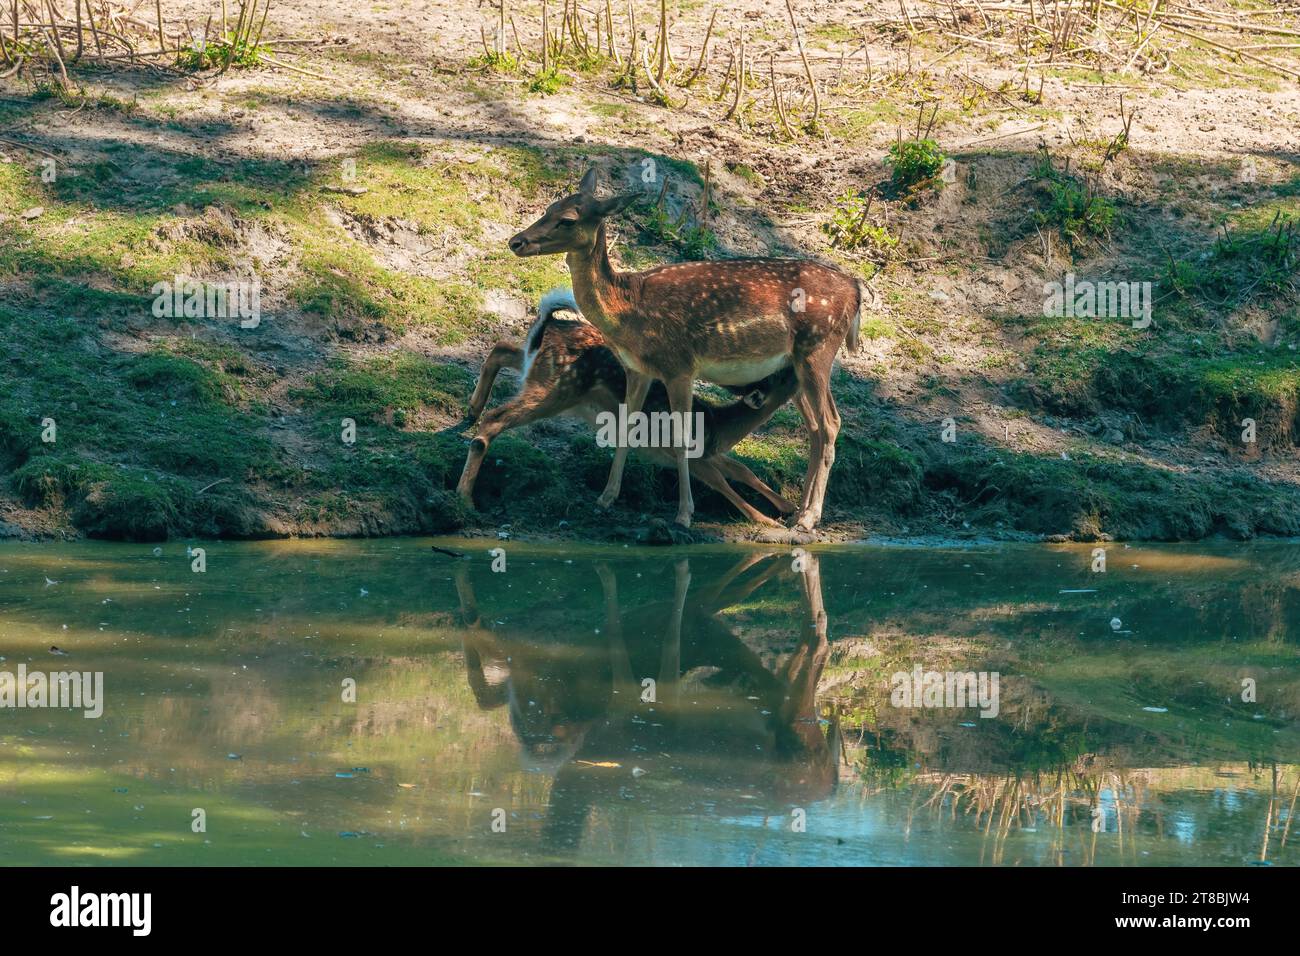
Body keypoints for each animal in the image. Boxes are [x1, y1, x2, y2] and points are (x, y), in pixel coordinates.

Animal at [457, 287, 800, 527]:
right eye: (782, 374)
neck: (717, 426)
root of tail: (548, 325)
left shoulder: (707, 452)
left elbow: (742, 470)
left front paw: (789, 507)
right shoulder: (684, 450)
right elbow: (720, 481)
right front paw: (766, 520)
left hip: (537, 370)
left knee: (502, 347)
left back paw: (472, 410)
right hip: (557, 390)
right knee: (496, 418)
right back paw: (464, 496)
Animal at [508, 167, 862, 532]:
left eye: (567, 220)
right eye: (550, 207)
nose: (516, 241)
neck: (628, 311)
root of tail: (857, 290)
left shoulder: (679, 366)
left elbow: (680, 439)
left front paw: (684, 514)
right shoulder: (637, 369)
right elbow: (625, 426)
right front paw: (606, 498)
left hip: (817, 348)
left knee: (831, 423)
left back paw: (808, 518)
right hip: (797, 365)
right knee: (816, 429)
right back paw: (797, 513)